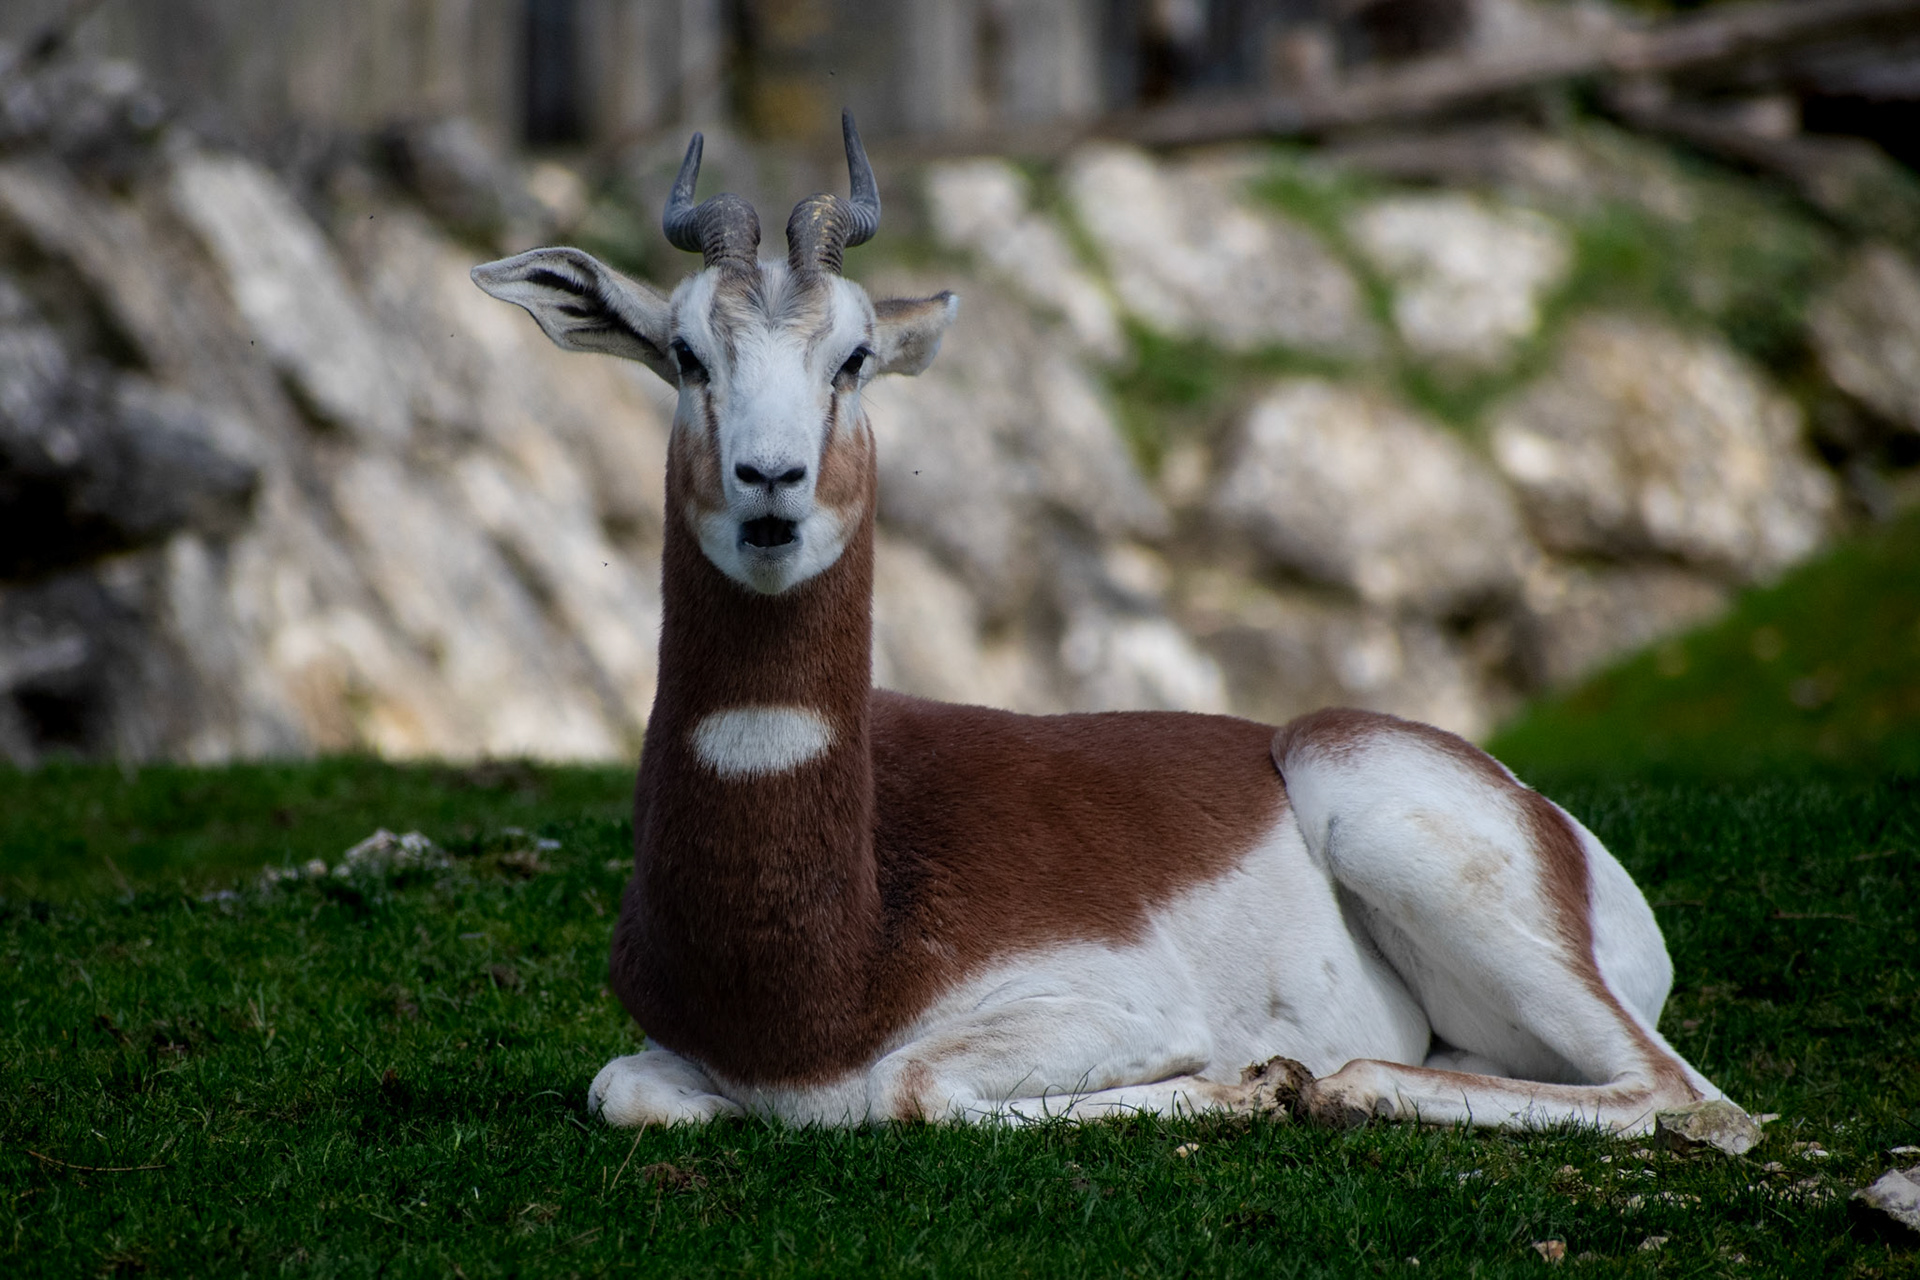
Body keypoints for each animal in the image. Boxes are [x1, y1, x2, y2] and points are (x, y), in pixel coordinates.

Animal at [472, 114, 1732, 1132]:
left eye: (855, 356)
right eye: (686, 353)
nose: (770, 482)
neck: (841, 947)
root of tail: (1568, 836)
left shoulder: (1110, 1008)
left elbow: (909, 1084)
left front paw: (1249, 1083)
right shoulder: (668, 1056)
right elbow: (625, 1088)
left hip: (1397, 831)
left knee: (1692, 1100)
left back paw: (1333, 1083)